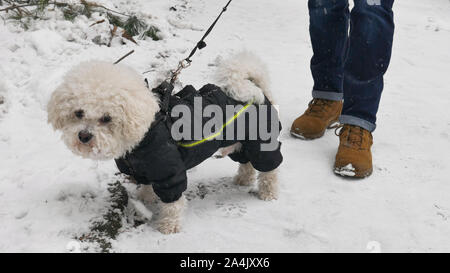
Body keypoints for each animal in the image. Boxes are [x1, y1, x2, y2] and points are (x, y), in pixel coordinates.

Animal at [48, 52, 282, 233]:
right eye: (78, 113)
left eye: (106, 118)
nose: (84, 136)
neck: (146, 132)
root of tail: (256, 88)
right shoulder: (146, 171)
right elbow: (146, 188)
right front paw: (146, 200)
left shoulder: (170, 173)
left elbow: (173, 204)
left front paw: (168, 227)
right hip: (240, 144)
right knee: (247, 163)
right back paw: (243, 180)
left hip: (262, 142)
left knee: (269, 170)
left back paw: (268, 193)